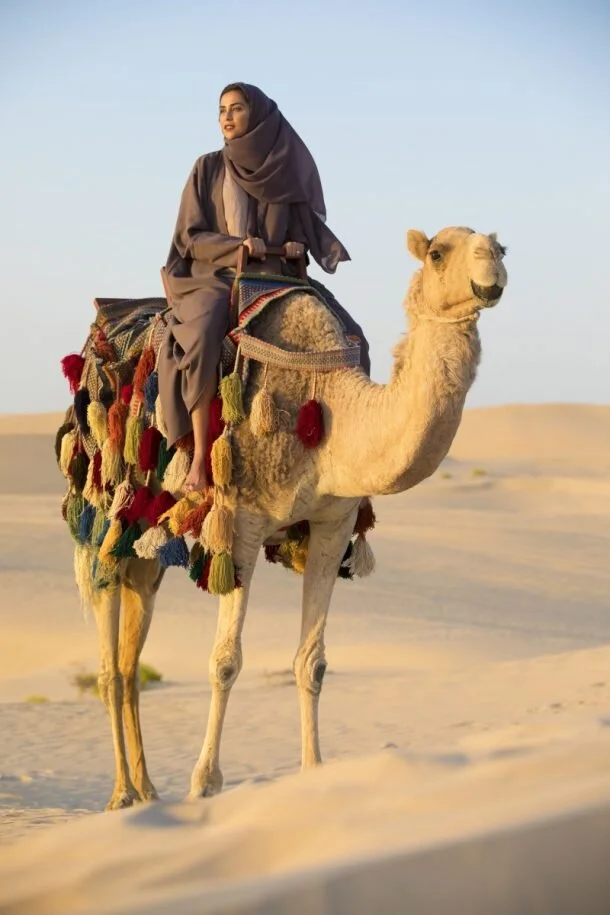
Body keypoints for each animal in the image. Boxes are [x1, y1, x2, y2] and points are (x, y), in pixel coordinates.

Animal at [73, 225, 507, 809]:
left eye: (500, 248)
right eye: (438, 252)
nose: (492, 274)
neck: (326, 404)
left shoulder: (333, 525)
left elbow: (313, 661)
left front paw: (313, 771)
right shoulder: (242, 520)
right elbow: (225, 660)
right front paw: (205, 782)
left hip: (146, 540)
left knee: (128, 655)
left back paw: (147, 790)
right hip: (101, 514)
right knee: (107, 663)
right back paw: (121, 794)